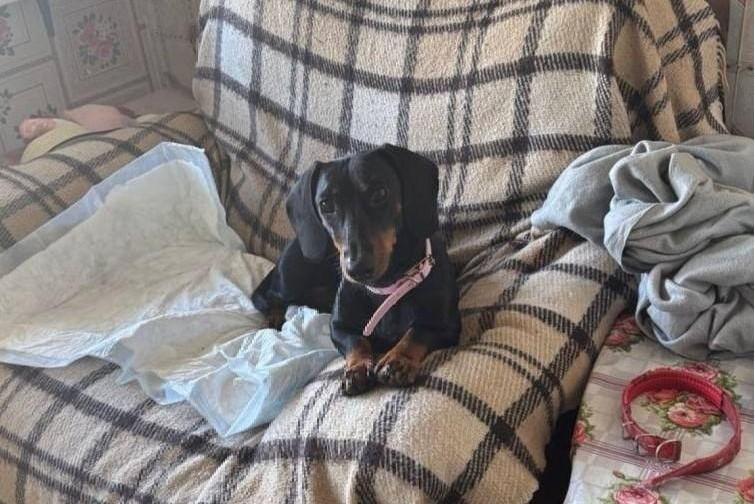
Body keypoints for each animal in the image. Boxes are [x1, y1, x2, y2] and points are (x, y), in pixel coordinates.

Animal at [252, 144, 460, 395]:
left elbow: (417, 332)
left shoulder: (447, 326)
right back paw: (274, 315)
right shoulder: (338, 327)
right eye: (326, 204)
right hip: (291, 278)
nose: (357, 268)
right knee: (269, 295)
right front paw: (357, 368)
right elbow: (357, 342)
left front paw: (397, 360)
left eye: (380, 193)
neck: (385, 288)